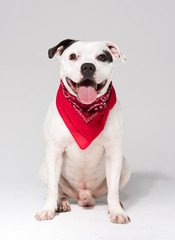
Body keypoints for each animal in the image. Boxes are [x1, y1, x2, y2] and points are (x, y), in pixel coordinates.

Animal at [35, 38, 131, 224]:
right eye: (73, 56)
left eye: (102, 57)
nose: (87, 66)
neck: (85, 110)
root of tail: (85, 196)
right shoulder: (54, 151)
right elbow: (52, 188)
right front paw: (47, 209)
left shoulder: (114, 153)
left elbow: (113, 189)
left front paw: (116, 211)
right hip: (44, 167)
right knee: (60, 191)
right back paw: (60, 203)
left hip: (124, 165)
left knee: (113, 189)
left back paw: (117, 205)